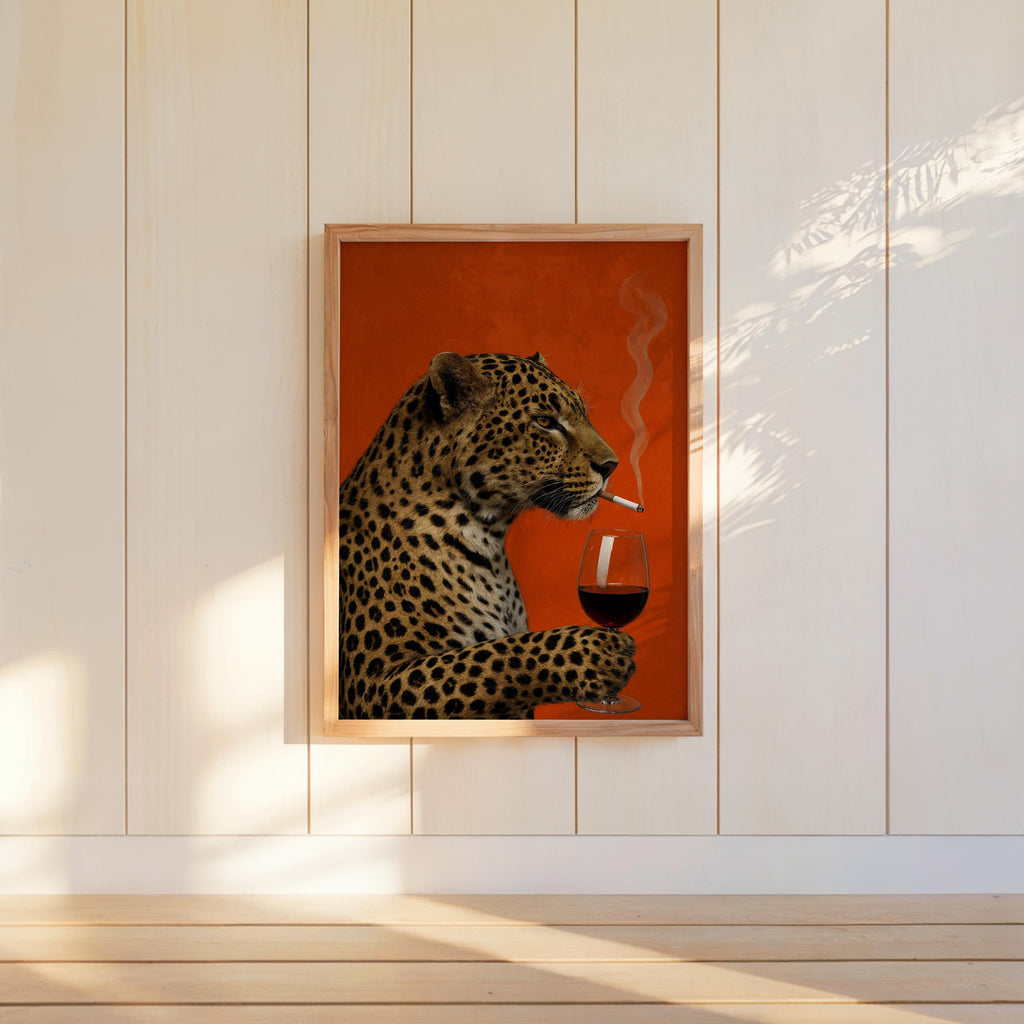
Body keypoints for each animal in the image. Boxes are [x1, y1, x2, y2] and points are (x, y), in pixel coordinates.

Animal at [338, 351, 636, 719]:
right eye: (545, 422)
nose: (611, 465)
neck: (489, 540)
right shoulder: (374, 683)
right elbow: (496, 655)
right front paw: (597, 652)